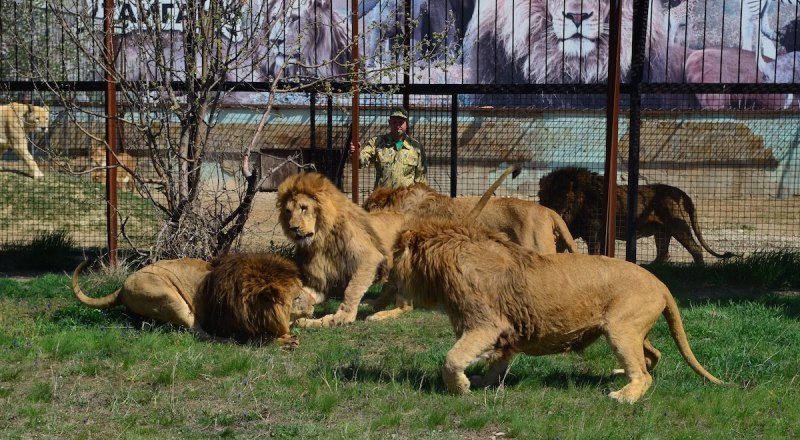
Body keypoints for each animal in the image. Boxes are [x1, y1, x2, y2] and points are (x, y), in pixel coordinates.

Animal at [384, 218, 720, 404]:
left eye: (396, 253)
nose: (385, 273)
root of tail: (661, 283)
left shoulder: (486, 324)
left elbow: (452, 359)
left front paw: (462, 388)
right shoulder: (506, 332)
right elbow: (497, 364)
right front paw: (481, 382)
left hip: (621, 330)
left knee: (645, 375)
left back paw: (623, 396)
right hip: (628, 329)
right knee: (654, 355)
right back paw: (619, 374)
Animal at [536, 167, 736, 262]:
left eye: (559, 199)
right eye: (544, 198)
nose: (550, 212)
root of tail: (680, 192)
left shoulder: (594, 232)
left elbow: (593, 252)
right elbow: (557, 249)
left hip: (678, 225)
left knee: (695, 249)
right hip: (662, 232)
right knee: (664, 254)